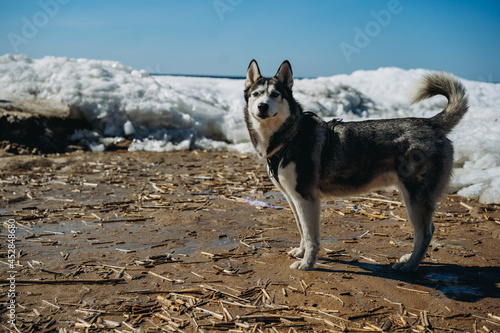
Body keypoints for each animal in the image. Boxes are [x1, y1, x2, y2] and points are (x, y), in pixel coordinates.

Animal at [244, 59, 466, 272]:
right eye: (256, 94)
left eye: (275, 95)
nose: (262, 106)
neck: (291, 135)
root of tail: (430, 123)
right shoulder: (293, 198)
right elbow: (301, 229)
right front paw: (301, 252)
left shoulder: (306, 198)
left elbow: (311, 235)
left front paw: (307, 263)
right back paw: (408, 259)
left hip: (415, 198)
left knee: (425, 233)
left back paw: (410, 265)